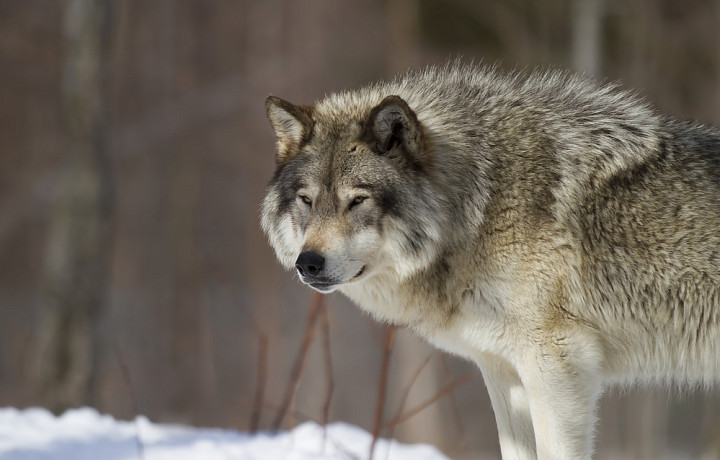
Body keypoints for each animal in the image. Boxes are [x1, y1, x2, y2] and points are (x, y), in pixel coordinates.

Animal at [260, 62, 720, 460]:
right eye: (307, 200)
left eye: (357, 200)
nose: (308, 263)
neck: (479, 209)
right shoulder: (503, 372)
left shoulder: (558, 365)